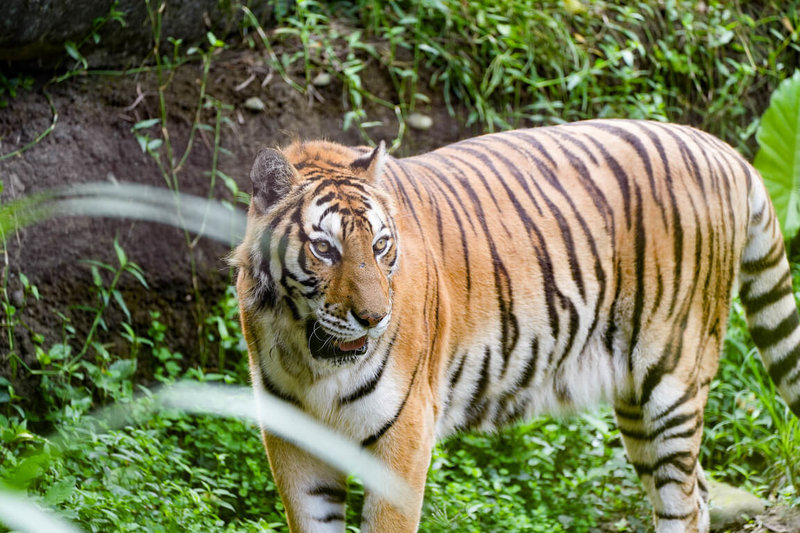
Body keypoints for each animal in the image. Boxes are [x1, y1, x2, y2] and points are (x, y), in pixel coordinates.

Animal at [230, 120, 800, 532]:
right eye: (324, 248)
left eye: (380, 245)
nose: (372, 317)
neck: (311, 356)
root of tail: (722, 149)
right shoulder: (292, 439)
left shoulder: (404, 434)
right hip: (636, 402)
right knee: (696, 494)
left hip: (672, 380)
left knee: (684, 503)